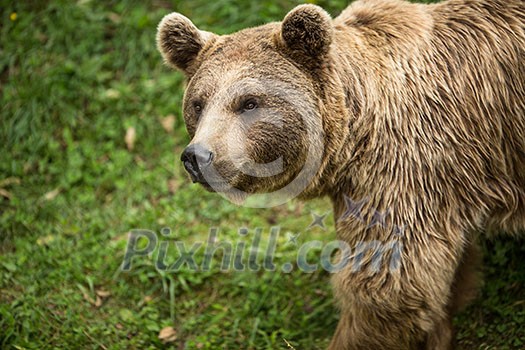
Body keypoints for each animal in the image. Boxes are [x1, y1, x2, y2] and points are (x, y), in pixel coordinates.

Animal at [156, 0, 524, 348]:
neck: (352, 136)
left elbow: (389, 281)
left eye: (249, 102)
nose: (197, 156)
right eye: (198, 103)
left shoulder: (404, 168)